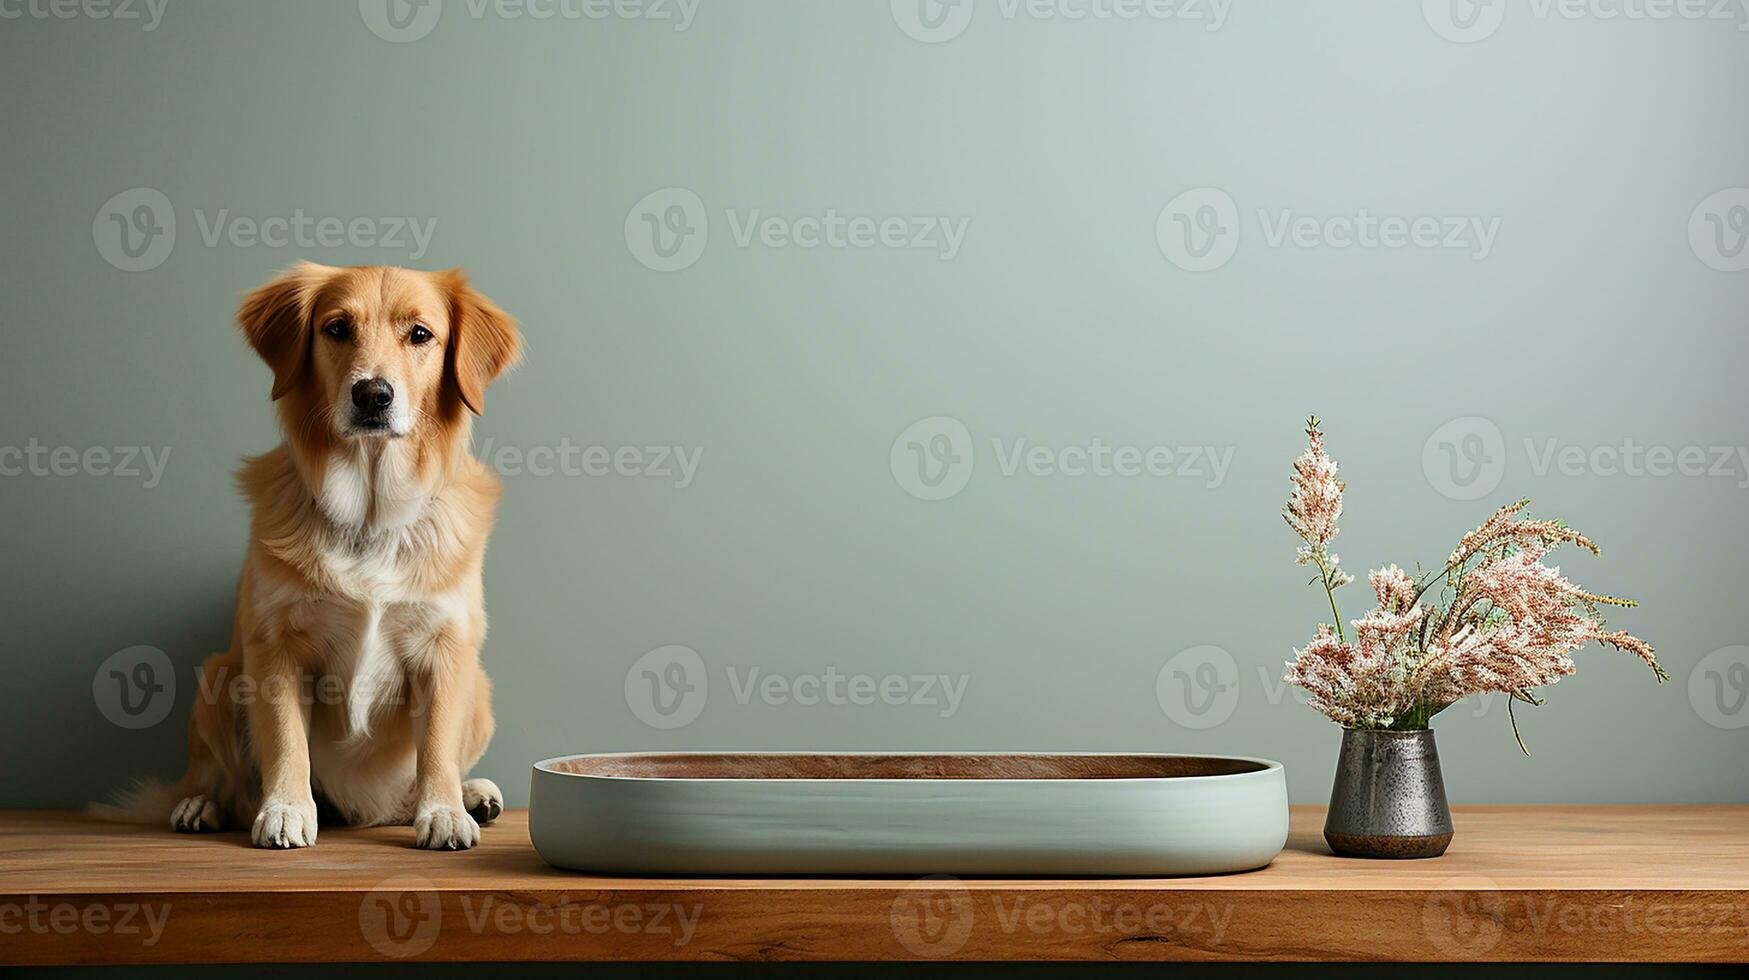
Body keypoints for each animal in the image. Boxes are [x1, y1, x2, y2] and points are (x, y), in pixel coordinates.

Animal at [148, 262, 517, 850]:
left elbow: (437, 746)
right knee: (222, 776)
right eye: (337, 328)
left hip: (478, 689)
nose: (373, 395)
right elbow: (285, 741)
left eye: (420, 334)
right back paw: (203, 803)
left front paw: (443, 811)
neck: (371, 514)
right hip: (218, 677)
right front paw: (285, 809)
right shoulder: (276, 646)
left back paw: (471, 793)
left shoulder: (445, 647)